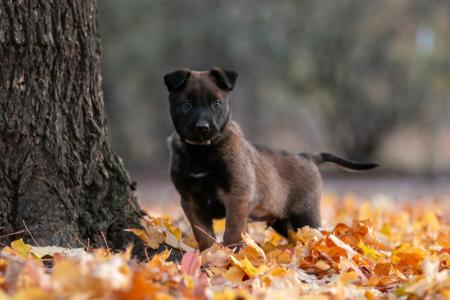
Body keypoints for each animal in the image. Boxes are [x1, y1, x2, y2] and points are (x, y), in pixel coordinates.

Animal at [164, 68, 376, 251]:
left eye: (216, 104)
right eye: (186, 105)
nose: (202, 128)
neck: (201, 151)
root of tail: (307, 156)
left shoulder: (237, 196)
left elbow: (232, 231)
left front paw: (229, 255)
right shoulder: (190, 201)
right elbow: (203, 234)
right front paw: (210, 255)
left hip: (305, 216)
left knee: (315, 234)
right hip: (281, 221)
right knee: (295, 237)